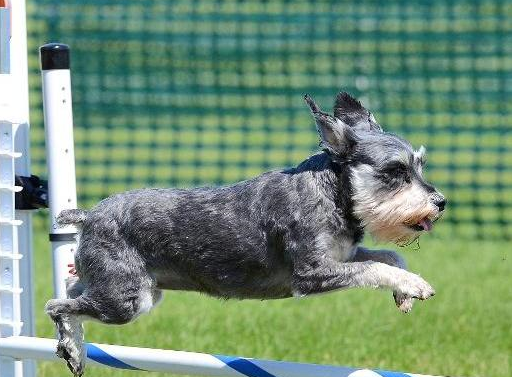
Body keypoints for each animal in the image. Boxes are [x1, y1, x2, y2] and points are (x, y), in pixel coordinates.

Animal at [49, 92, 448, 376]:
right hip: (128, 301)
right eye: (395, 171)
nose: (440, 202)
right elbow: (376, 268)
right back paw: (73, 351)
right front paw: (415, 286)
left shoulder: (343, 256)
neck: (330, 193)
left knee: (71, 286)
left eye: (420, 165)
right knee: (57, 305)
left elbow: (391, 257)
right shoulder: (313, 273)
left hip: (129, 290)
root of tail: (89, 216)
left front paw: (404, 294)